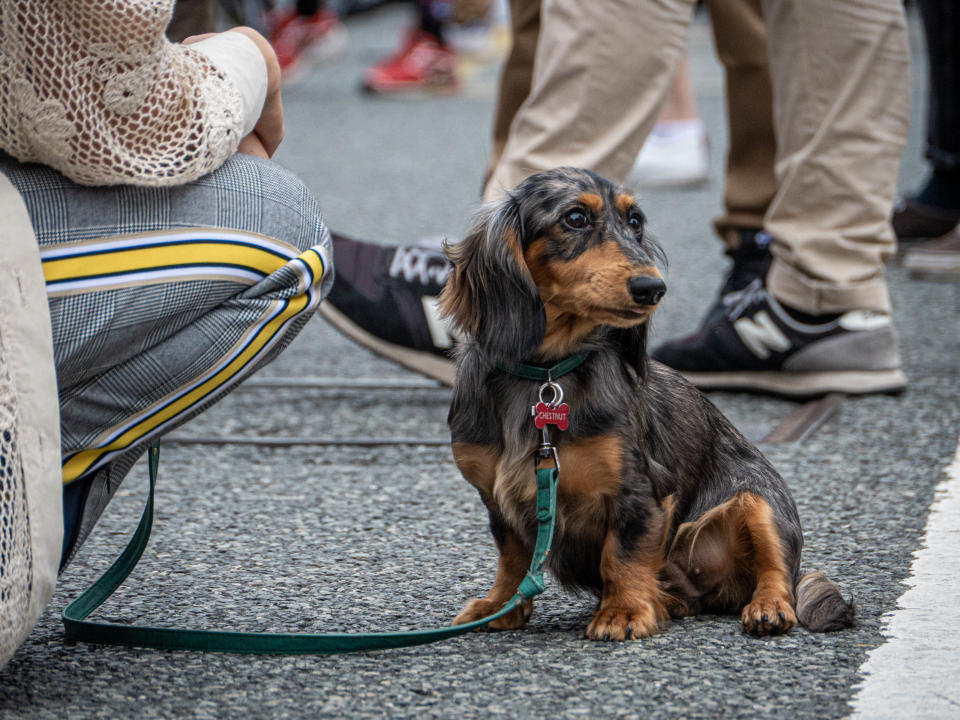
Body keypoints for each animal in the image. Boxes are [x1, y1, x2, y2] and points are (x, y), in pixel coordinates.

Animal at [438, 166, 852, 640]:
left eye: (634, 221)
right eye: (575, 218)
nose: (652, 287)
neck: (546, 375)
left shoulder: (640, 490)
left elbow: (623, 554)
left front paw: (623, 611)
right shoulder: (498, 499)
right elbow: (513, 557)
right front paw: (500, 605)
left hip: (759, 499)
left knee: (777, 569)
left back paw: (767, 607)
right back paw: (667, 601)